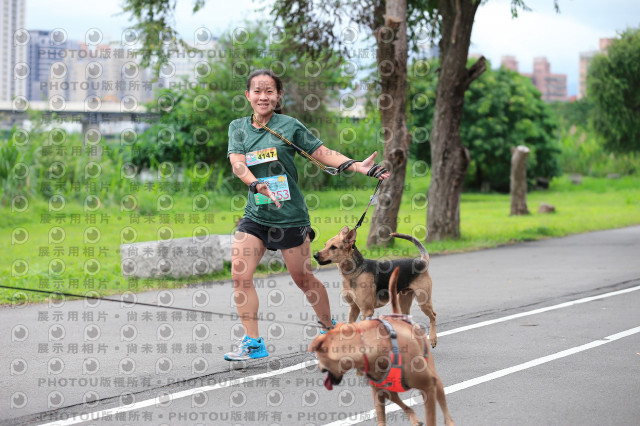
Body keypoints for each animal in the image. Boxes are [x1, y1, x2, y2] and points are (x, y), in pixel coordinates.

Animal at [310, 268, 456, 424]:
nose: (320, 369)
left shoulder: (428, 386)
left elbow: (431, 416)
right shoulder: (378, 393)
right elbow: (382, 418)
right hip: (390, 391)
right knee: (401, 403)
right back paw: (414, 419)